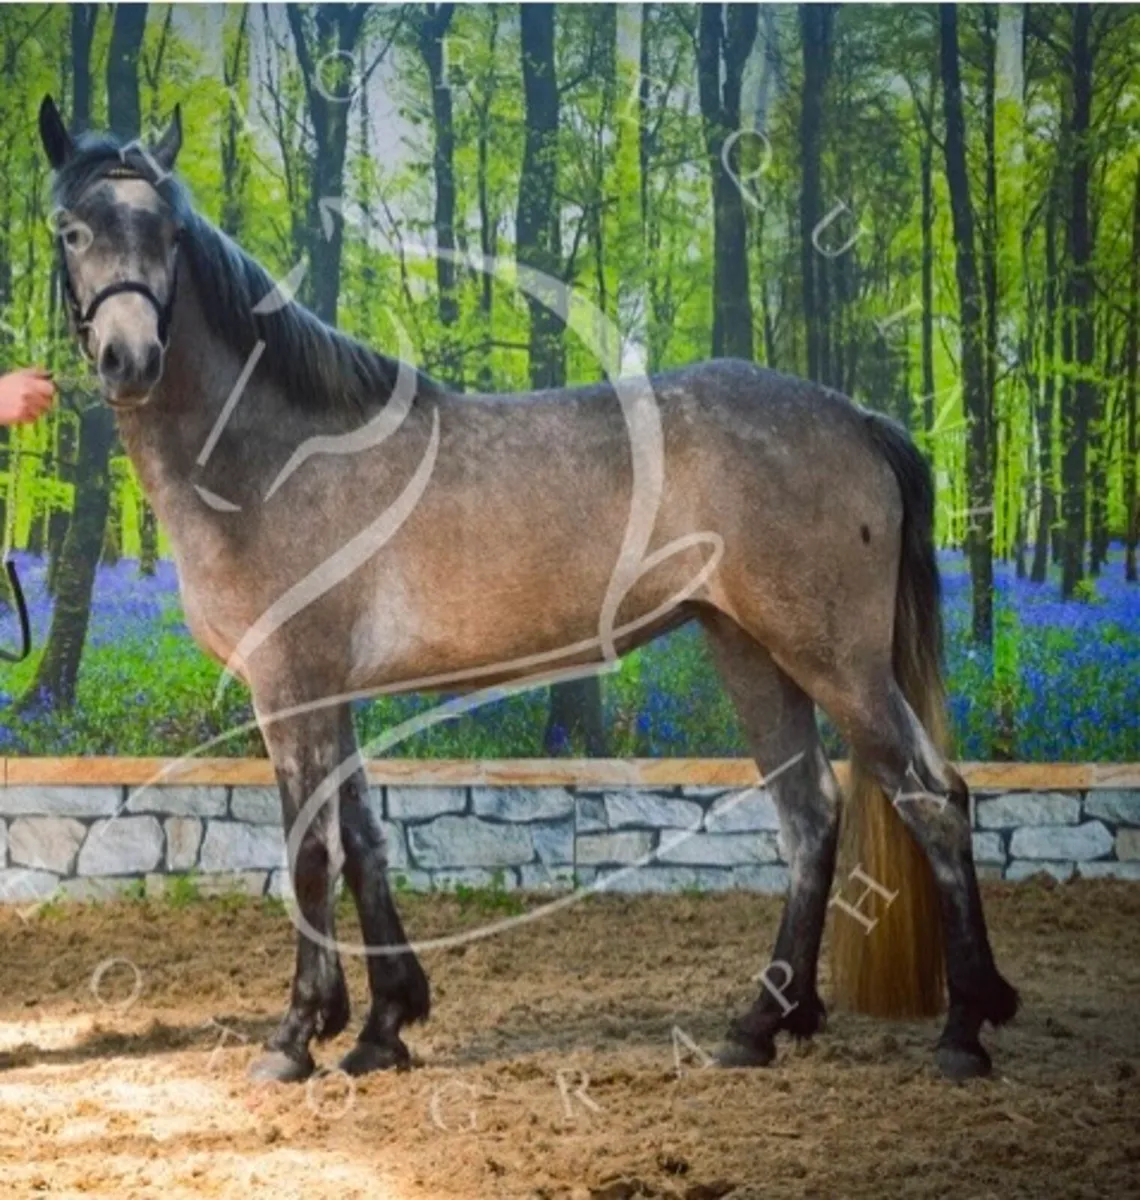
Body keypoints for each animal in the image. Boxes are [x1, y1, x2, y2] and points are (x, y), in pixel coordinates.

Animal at [37, 95, 1018, 1084]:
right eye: (71, 228)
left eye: (167, 231)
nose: (129, 356)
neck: (275, 454)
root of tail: (854, 416)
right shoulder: (331, 694)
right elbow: (364, 844)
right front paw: (385, 1024)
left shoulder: (290, 690)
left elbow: (310, 852)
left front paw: (297, 1036)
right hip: (753, 653)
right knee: (811, 814)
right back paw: (760, 1023)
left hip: (836, 662)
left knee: (934, 803)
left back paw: (963, 1029)